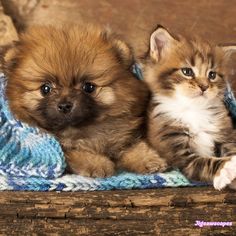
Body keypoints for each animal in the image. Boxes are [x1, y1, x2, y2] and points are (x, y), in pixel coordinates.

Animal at [2, 24, 168, 177]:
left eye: (88, 87)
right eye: (45, 89)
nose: (64, 105)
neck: (83, 129)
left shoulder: (124, 136)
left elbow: (135, 147)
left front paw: (149, 160)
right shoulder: (63, 149)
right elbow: (78, 152)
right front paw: (97, 164)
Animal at [142, 25, 236, 190]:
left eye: (212, 75)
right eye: (187, 71)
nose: (204, 87)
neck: (193, 110)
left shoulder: (225, 134)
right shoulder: (179, 153)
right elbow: (206, 162)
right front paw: (228, 169)